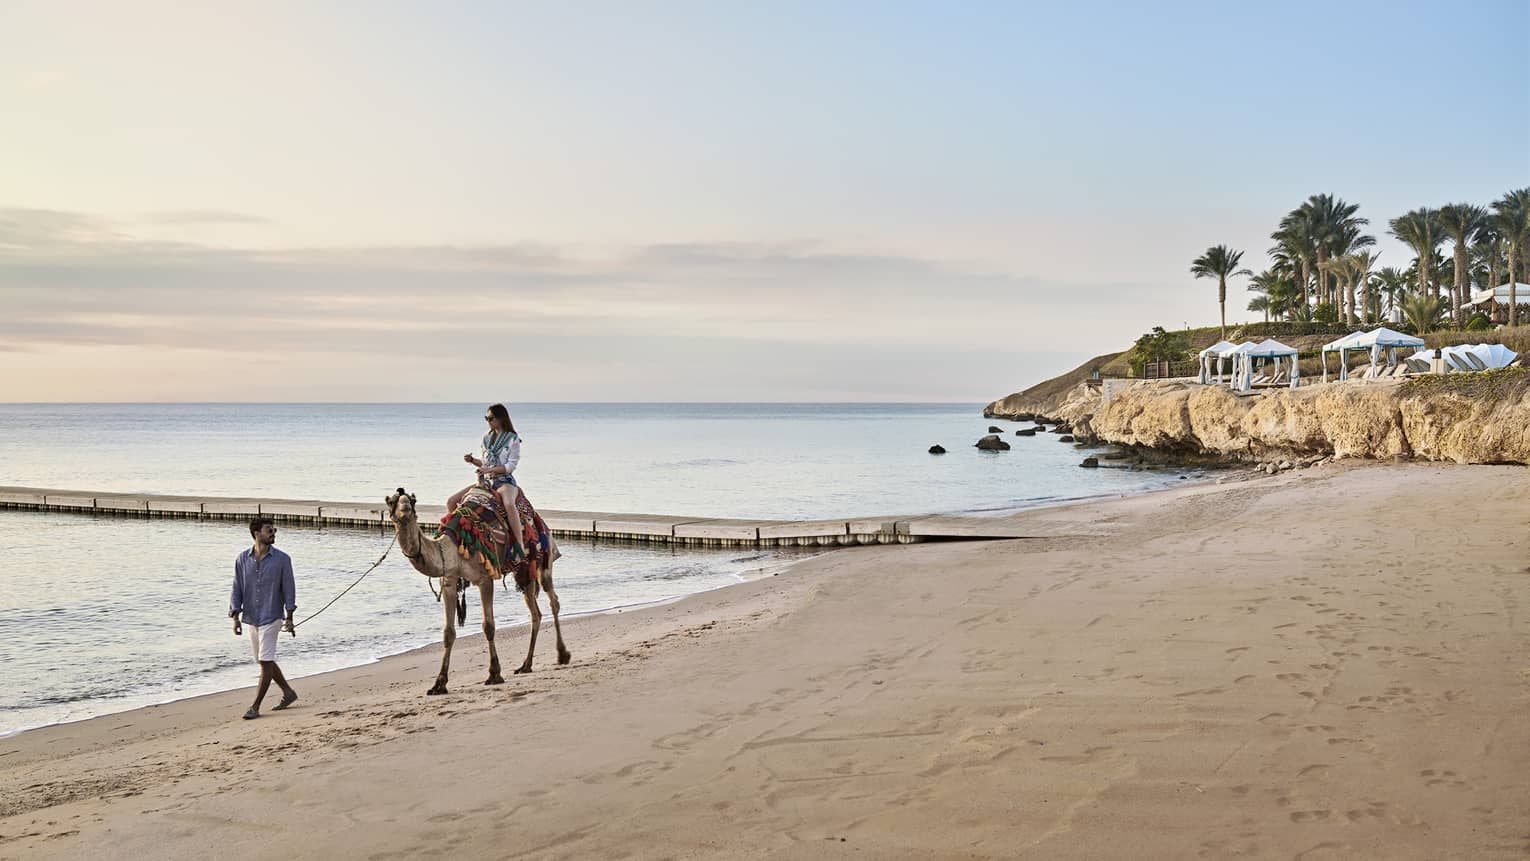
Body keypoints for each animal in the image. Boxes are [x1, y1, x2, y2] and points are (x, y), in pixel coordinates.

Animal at [384, 487, 570, 695]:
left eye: (412, 500)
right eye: (391, 501)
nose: (405, 507)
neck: (452, 548)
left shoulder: (485, 578)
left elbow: (488, 626)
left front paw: (494, 674)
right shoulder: (449, 580)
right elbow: (448, 632)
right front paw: (439, 684)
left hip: (544, 560)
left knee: (553, 601)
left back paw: (562, 655)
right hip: (524, 572)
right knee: (535, 613)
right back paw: (526, 665)